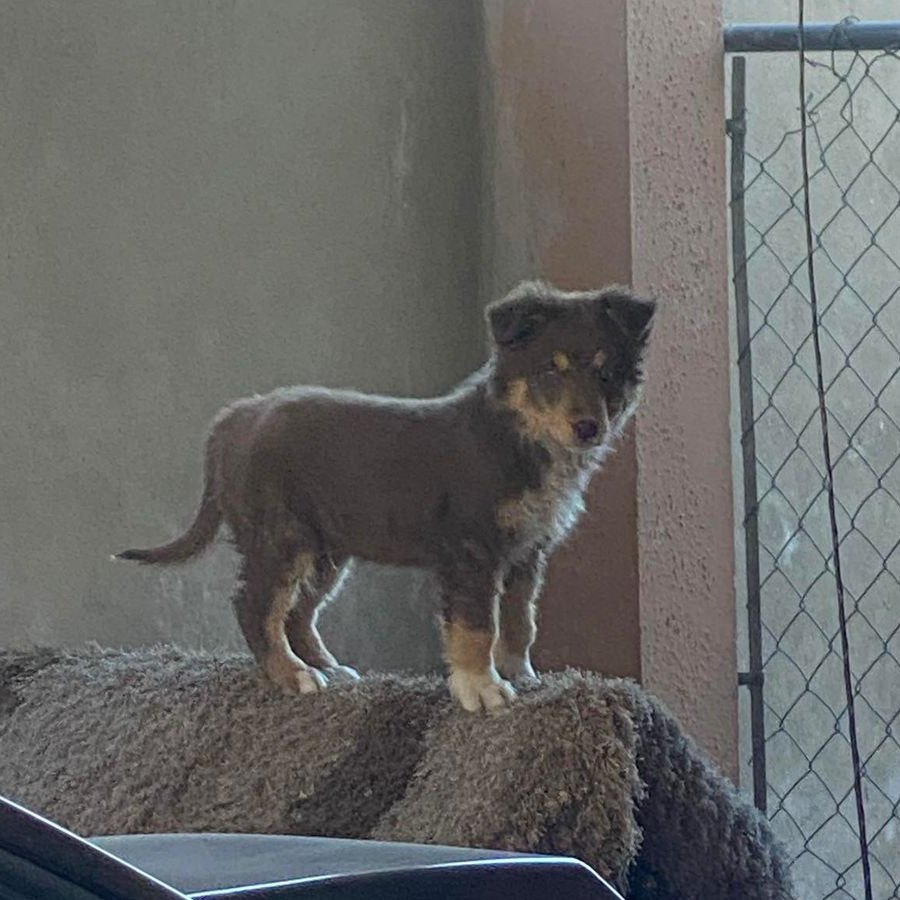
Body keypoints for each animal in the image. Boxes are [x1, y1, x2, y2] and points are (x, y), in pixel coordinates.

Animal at [118, 282, 652, 712]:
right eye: (550, 371)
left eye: (606, 373)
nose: (588, 428)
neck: (518, 436)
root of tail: (235, 417)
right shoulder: (472, 551)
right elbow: (478, 625)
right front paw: (481, 689)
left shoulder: (528, 551)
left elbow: (521, 620)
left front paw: (521, 674)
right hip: (281, 538)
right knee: (256, 606)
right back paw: (293, 675)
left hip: (326, 550)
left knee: (298, 612)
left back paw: (327, 667)